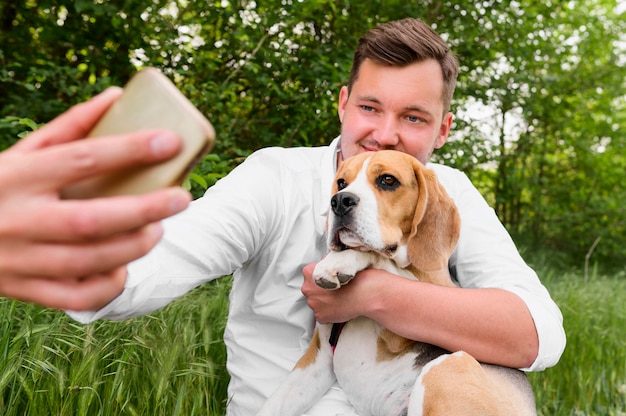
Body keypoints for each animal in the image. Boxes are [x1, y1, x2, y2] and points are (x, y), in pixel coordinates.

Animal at [256, 151, 532, 414]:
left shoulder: (405, 325)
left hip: (447, 365)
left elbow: (378, 257)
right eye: (341, 182)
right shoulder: (318, 359)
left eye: (388, 180)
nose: (340, 201)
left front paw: (339, 261)